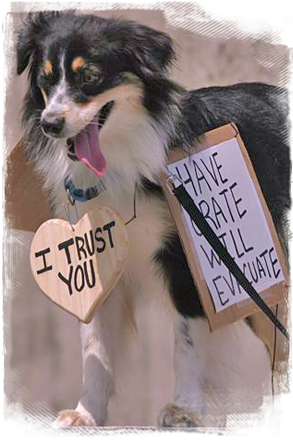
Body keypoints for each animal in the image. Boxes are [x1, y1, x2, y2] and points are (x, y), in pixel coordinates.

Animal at [16, 3, 290, 428]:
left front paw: (184, 409)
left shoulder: (186, 255)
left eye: (90, 76)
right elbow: (95, 348)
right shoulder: (100, 258)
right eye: (45, 80)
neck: (122, 159)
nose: (50, 124)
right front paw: (85, 415)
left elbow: (187, 340)